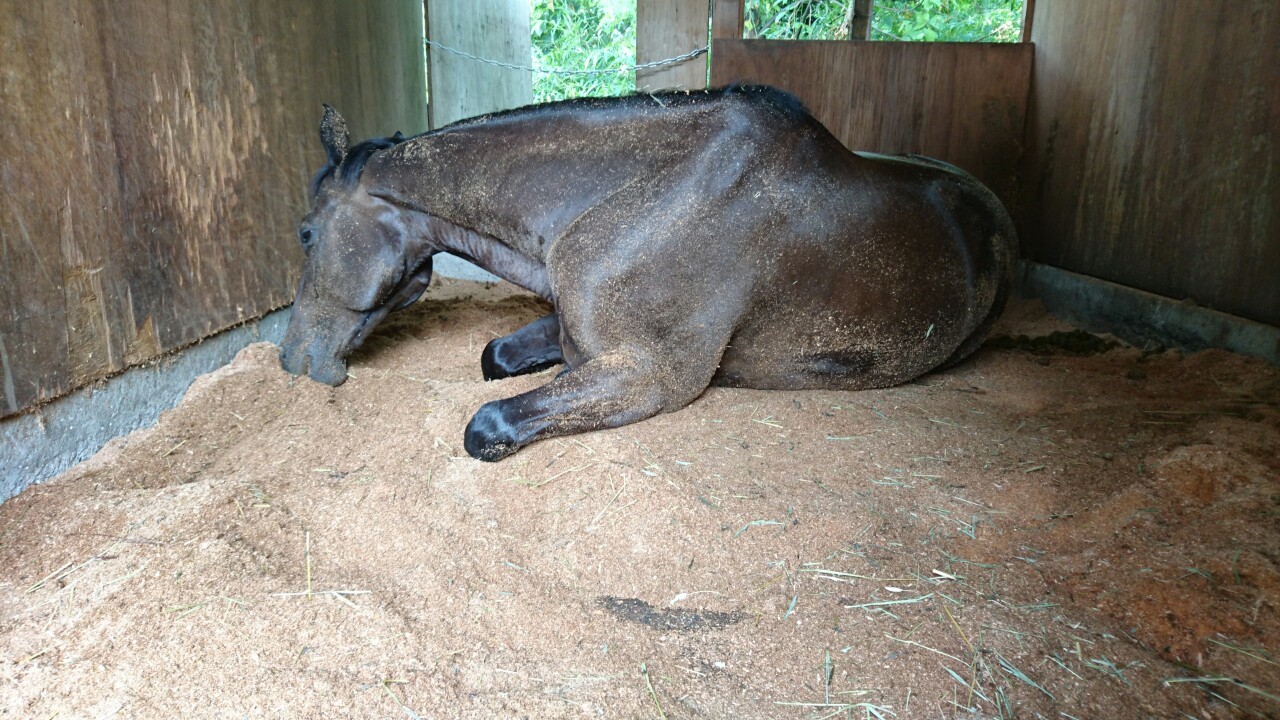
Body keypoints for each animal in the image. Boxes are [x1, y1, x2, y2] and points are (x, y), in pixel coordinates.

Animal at [279, 85, 1017, 461]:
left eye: (306, 232)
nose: (290, 360)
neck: (638, 191)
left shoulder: (648, 375)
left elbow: (487, 424)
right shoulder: (574, 334)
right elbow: (496, 356)